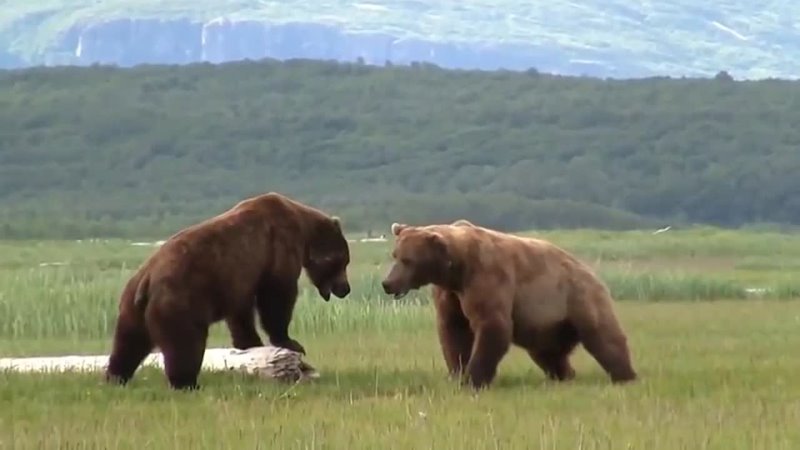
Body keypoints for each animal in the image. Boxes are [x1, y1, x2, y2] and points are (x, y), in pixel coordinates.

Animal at [382, 221, 636, 390]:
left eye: (407, 260)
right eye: (395, 254)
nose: (388, 283)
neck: (456, 270)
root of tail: (591, 272)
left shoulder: (487, 277)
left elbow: (492, 326)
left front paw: (473, 380)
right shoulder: (449, 293)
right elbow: (453, 331)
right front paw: (457, 373)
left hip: (578, 298)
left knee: (604, 338)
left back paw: (625, 376)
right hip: (548, 324)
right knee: (548, 353)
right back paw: (564, 375)